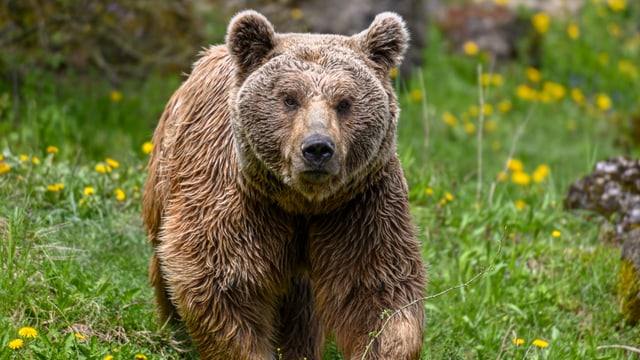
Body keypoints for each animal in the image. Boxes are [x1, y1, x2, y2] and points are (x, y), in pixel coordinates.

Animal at [142, 9, 428, 358]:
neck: (302, 201)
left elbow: (378, 289)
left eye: (344, 102)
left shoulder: (360, 204)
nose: (317, 148)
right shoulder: (239, 202)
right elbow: (223, 282)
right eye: (290, 99)